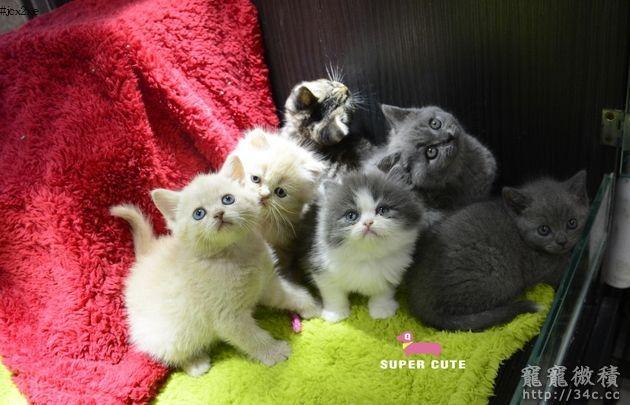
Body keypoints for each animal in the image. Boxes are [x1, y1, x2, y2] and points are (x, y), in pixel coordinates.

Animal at [111, 156, 320, 377]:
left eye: (227, 199)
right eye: (199, 213)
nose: (219, 214)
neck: (237, 254)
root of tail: (144, 259)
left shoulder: (268, 283)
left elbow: (289, 294)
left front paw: (311, 305)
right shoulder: (228, 316)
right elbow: (251, 337)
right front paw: (274, 351)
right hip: (172, 333)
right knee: (170, 352)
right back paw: (195, 363)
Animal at [307, 166, 425, 322]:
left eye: (383, 210)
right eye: (351, 215)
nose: (368, 222)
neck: (366, 256)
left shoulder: (391, 272)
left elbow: (383, 291)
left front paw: (382, 310)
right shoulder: (322, 269)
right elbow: (333, 294)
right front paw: (336, 314)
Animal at [406, 170, 589, 331]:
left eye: (572, 223)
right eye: (544, 230)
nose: (562, 241)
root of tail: (422, 306)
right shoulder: (541, 267)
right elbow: (564, 270)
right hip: (499, 278)